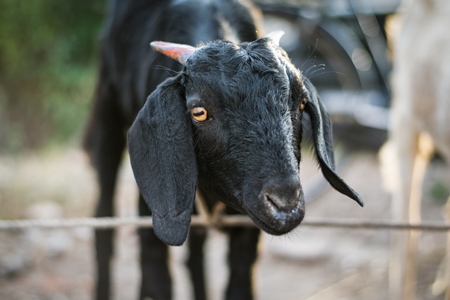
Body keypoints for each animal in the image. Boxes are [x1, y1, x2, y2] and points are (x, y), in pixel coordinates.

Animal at [84, 0, 364, 300]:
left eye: (301, 103)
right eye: (199, 112)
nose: (285, 204)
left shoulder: (246, 230)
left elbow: (239, 284)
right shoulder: (156, 216)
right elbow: (157, 280)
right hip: (108, 110)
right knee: (103, 215)